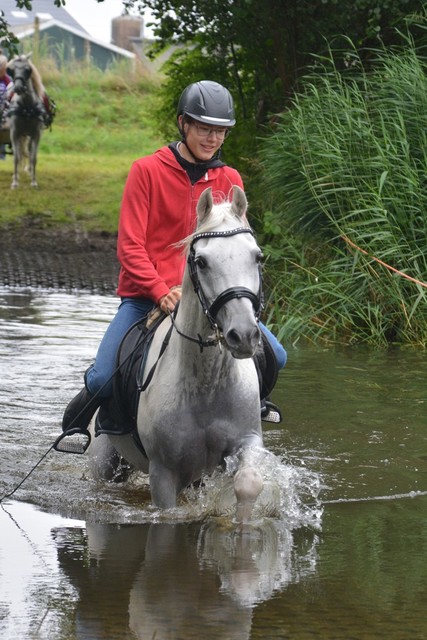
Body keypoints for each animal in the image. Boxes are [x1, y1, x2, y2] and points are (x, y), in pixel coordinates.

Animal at [6, 53, 45, 188]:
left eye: (28, 69)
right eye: (10, 70)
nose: (18, 87)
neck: (27, 107)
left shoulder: (36, 134)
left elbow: (33, 157)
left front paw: (34, 182)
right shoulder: (14, 133)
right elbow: (16, 157)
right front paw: (14, 182)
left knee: (28, 150)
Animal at [90, 186, 268, 520]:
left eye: (257, 256)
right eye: (201, 262)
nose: (243, 335)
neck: (207, 385)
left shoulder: (247, 443)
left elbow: (249, 482)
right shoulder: (163, 474)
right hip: (104, 462)